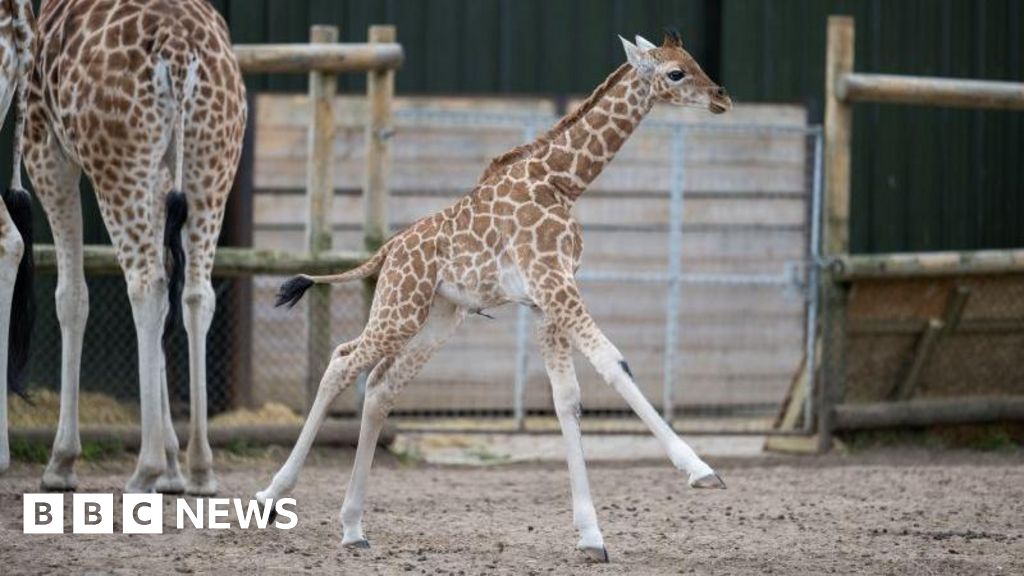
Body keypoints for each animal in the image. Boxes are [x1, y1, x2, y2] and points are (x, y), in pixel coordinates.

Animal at [16, 0, 246, 493]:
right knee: (195, 293)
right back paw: (200, 468)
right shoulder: (161, 179)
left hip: (118, 163)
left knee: (147, 286)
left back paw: (145, 468)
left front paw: (61, 462)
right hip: (211, 160)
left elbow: (71, 297)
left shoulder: (45, 148)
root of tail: (179, 51)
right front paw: (175, 466)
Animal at [258, 29, 731, 560]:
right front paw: (700, 470)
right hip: (400, 307)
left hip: (439, 318)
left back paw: (353, 526)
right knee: (342, 362)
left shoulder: (548, 298)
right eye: (676, 72)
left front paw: (590, 536)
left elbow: (567, 398)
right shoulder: (553, 281)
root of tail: (387, 250)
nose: (721, 97)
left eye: (693, 61)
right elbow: (614, 364)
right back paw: (271, 497)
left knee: (381, 387)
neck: (563, 183)